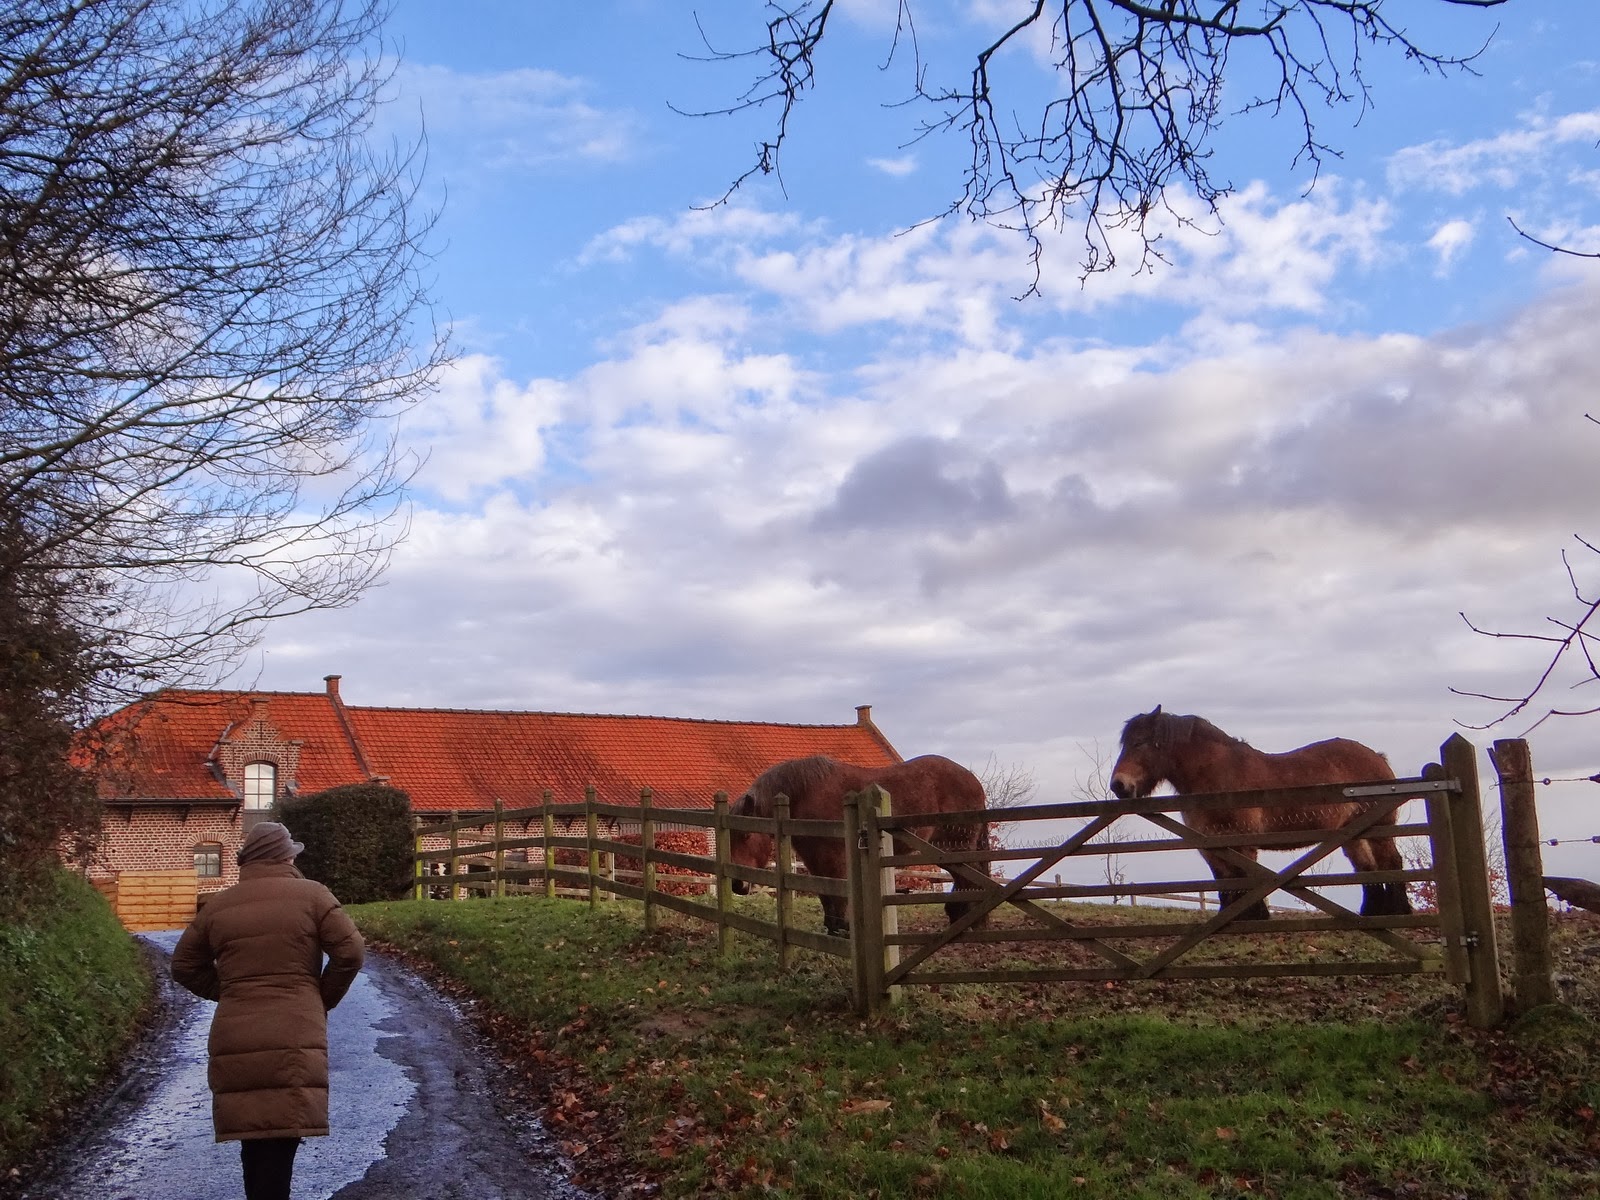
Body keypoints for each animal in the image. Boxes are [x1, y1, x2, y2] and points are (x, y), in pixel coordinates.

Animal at [729, 761, 985, 940]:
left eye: (746, 835)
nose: (737, 885)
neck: (806, 796)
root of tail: (972, 779)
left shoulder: (835, 860)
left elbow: (840, 896)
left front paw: (844, 931)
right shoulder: (815, 862)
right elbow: (826, 895)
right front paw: (832, 930)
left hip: (954, 849)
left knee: (968, 878)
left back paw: (967, 921)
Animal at [1113, 710, 1414, 928]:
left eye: (1140, 743)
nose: (1119, 786)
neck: (1217, 776)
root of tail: (1376, 756)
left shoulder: (1243, 842)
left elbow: (1245, 879)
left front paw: (1254, 916)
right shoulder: (1210, 846)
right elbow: (1225, 880)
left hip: (1380, 829)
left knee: (1390, 863)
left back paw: (1398, 912)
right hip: (1352, 836)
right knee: (1368, 869)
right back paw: (1372, 913)